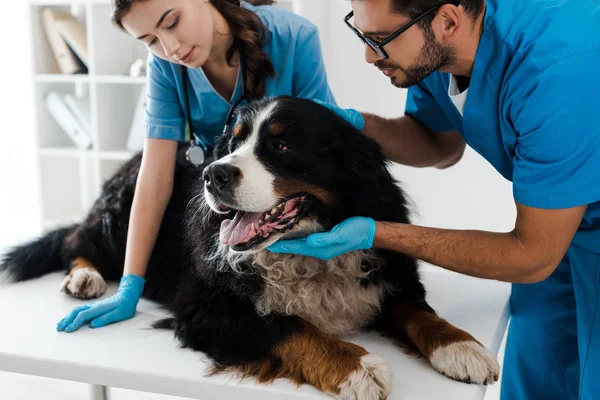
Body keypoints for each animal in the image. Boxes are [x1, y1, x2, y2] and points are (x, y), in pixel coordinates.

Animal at [1, 97, 496, 400]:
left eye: (280, 144)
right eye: (234, 141)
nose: (212, 174)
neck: (300, 253)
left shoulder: (385, 271)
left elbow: (417, 311)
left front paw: (461, 346)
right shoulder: (205, 309)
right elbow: (290, 326)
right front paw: (358, 367)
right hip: (126, 210)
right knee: (79, 240)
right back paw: (84, 277)